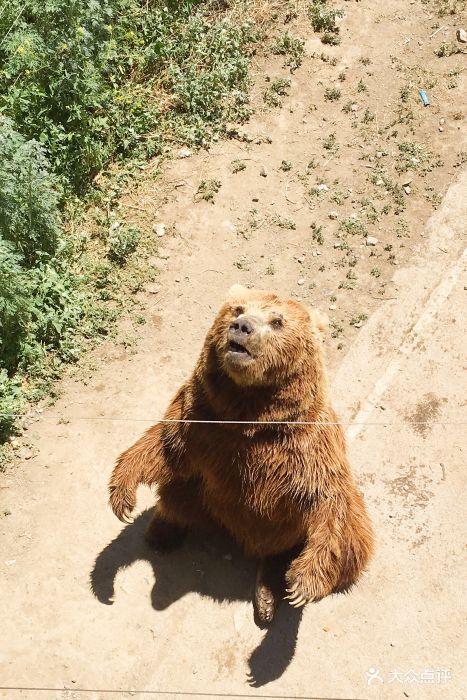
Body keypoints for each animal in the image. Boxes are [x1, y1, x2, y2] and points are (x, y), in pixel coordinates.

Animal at [108, 284, 374, 624]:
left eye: (277, 321)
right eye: (237, 309)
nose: (242, 327)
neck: (249, 416)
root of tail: (246, 540)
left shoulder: (307, 447)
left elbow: (325, 500)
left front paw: (303, 585)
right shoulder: (200, 420)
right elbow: (164, 446)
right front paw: (123, 498)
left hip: (298, 529)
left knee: (353, 540)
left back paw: (270, 589)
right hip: (207, 495)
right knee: (178, 490)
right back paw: (163, 531)